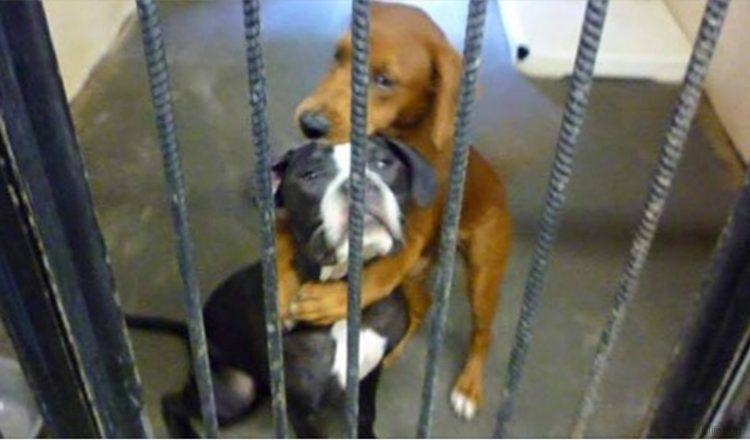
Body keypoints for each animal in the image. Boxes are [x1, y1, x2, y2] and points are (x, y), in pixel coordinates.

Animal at [127, 135, 437, 437]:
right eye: (310, 175)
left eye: (383, 162)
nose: (359, 183)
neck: (340, 288)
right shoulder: (300, 408)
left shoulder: (370, 375)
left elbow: (365, 416)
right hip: (234, 392)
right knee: (172, 402)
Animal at [273, 1, 513, 420]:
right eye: (338, 56)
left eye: (384, 80)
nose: (309, 124)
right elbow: (282, 232)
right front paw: (281, 286)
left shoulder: (410, 232)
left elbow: (378, 275)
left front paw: (331, 301)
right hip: (417, 276)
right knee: (423, 305)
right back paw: (396, 348)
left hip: (483, 271)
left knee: (483, 333)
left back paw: (468, 387)